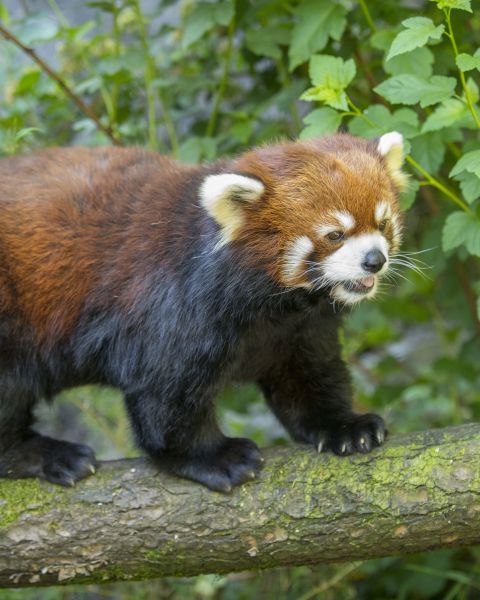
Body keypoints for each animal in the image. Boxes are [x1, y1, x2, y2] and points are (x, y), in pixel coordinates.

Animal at [0, 132, 404, 492]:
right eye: (335, 234)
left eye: (382, 223)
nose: (374, 260)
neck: (274, 308)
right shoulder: (173, 307)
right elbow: (165, 395)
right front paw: (213, 457)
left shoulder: (299, 330)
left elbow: (309, 376)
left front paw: (344, 426)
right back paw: (45, 454)